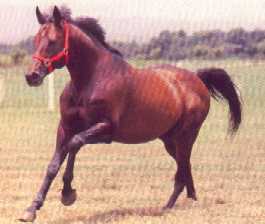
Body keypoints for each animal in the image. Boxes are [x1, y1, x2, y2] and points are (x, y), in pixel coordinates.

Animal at [19, 5, 241, 222]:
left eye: (52, 41)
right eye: (35, 40)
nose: (32, 76)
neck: (91, 81)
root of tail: (197, 78)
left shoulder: (105, 129)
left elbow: (74, 144)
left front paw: (67, 194)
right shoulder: (65, 127)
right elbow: (53, 164)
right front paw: (32, 209)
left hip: (186, 136)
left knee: (182, 169)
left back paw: (169, 207)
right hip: (170, 140)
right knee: (185, 166)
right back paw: (188, 201)